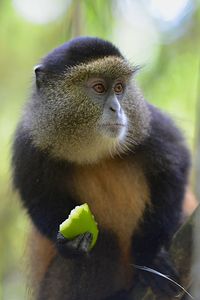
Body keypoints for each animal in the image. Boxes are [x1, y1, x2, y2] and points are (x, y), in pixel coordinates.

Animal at [11, 36, 190, 298]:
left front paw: (149, 256)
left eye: (119, 88)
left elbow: (174, 166)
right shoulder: (28, 146)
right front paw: (69, 245)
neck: (93, 150)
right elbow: (38, 200)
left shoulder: (148, 123)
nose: (117, 108)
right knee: (105, 244)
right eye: (98, 88)